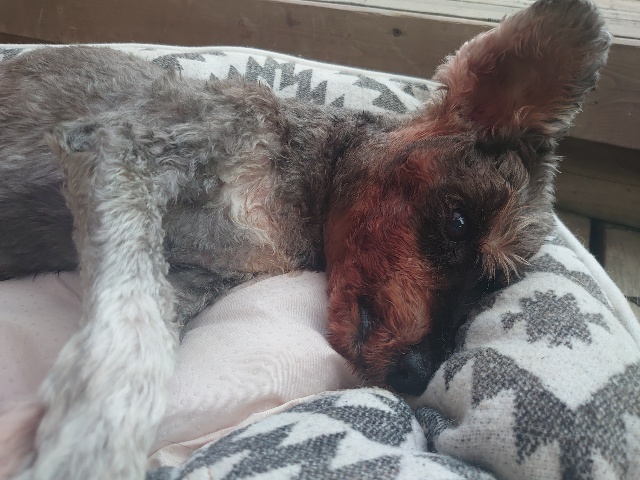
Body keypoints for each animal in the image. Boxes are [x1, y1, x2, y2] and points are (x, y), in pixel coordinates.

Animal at [0, 0, 610, 478]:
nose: (416, 373)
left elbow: (139, 323)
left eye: (490, 283)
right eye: (458, 222)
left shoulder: (194, 276)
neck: (302, 183)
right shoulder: (120, 150)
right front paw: (89, 442)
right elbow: (133, 331)